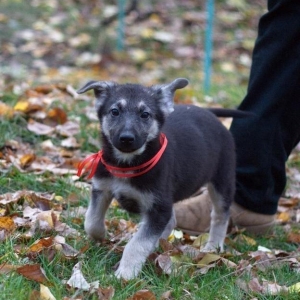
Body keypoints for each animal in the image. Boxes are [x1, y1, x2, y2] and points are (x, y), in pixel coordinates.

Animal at [77, 78, 241, 280]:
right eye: (115, 111)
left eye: (145, 114)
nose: (126, 139)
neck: (127, 164)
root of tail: (209, 114)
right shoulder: (102, 188)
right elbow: (91, 220)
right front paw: (99, 236)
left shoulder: (158, 207)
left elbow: (137, 243)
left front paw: (125, 274)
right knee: (172, 221)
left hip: (222, 181)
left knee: (220, 215)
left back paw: (213, 247)